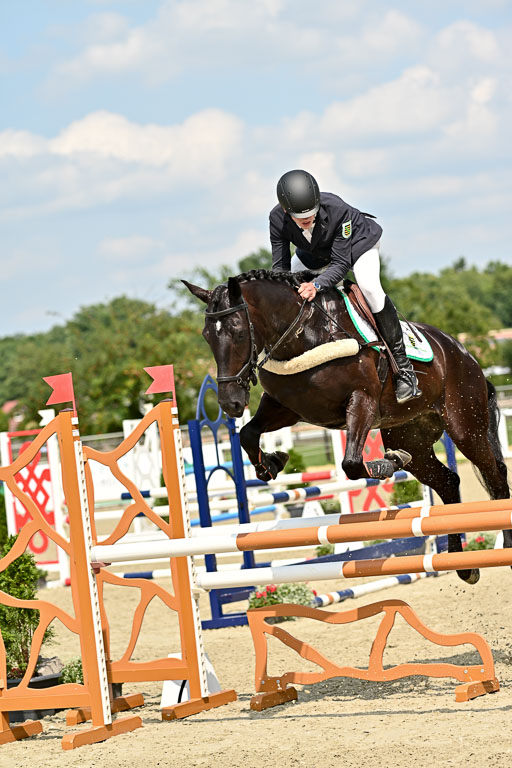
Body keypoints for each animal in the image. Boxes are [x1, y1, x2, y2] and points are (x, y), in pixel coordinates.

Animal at [183, 269, 511, 584]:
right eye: (206, 336)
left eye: (238, 332)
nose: (230, 404)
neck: (303, 335)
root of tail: (464, 353)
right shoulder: (286, 408)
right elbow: (247, 434)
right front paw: (272, 464)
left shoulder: (362, 401)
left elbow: (351, 463)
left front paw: (384, 465)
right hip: (411, 438)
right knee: (447, 481)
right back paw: (464, 566)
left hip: (465, 427)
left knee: (495, 476)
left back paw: (503, 545)